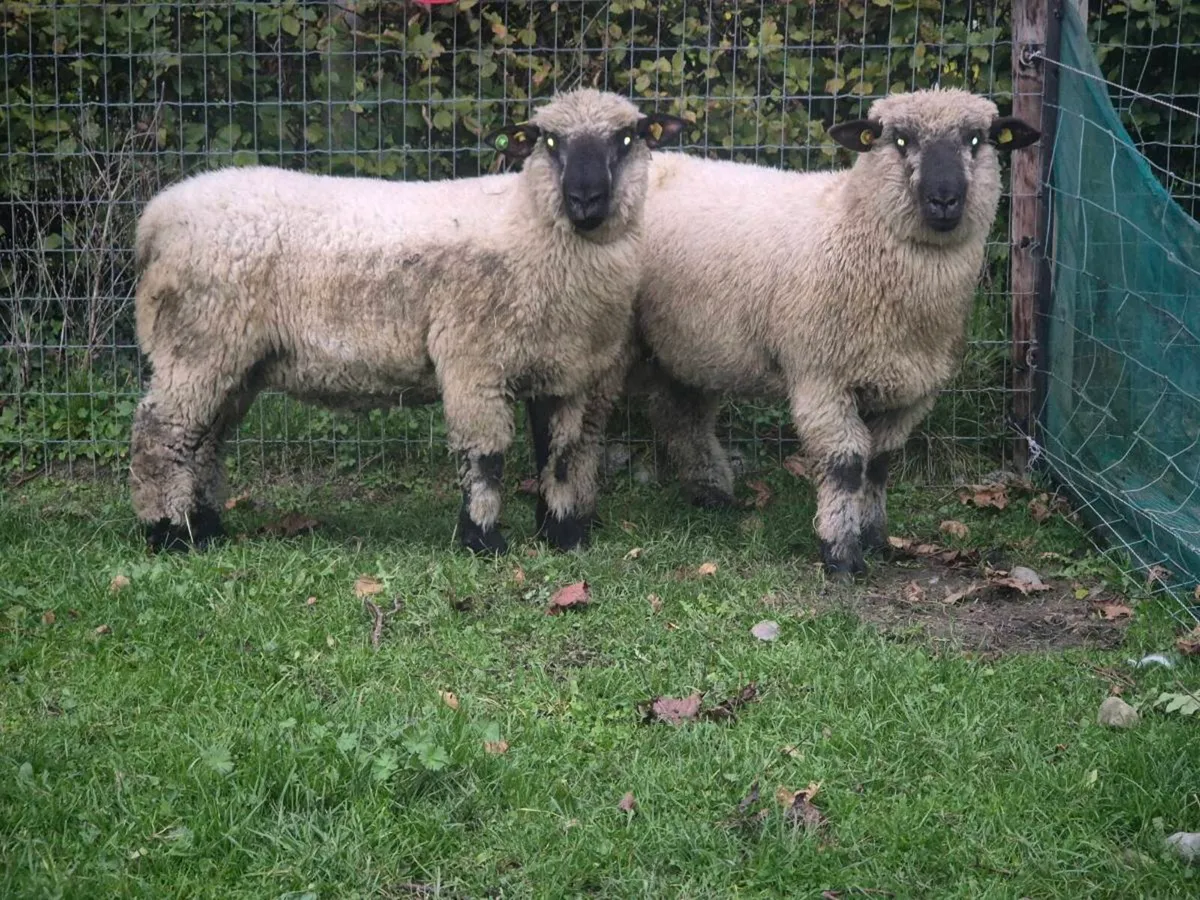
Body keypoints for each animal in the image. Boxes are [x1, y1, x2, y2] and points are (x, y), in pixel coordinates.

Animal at [128, 88, 686, 555]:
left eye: (627, 137)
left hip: (233, 358)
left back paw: (207, 528)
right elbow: (486, 458)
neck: (529, 226)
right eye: (550, 141)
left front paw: (563, 536)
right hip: (197, 342)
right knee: (161, 436)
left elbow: (563, 454)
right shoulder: (472, 361)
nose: (585, 200)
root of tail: (157, 216)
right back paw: (170, 534)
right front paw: (483, 541)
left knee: (205, 441)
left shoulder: (566, 370)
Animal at [622, 87, 1039, 575]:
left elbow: (879, 462)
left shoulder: (911, 390)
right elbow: (846, 463)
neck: (852, 224)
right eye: (900, 140)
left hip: (689, 346)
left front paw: (876, 537)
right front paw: (840, 553)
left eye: (976, 139)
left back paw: (712, 494)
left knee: (682, 415)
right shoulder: (822, 378)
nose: (944, 199)